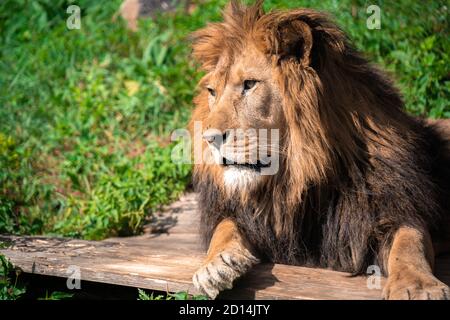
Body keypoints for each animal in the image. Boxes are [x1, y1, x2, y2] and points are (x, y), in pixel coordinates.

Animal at [186, 0, 450, 300]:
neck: (296, 180)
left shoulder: (396, 206)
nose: (209, 139)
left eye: (249, 84)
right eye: (212, 91)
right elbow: (224, 227)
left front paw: (418, 286)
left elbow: (409, 241)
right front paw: (214, 267)